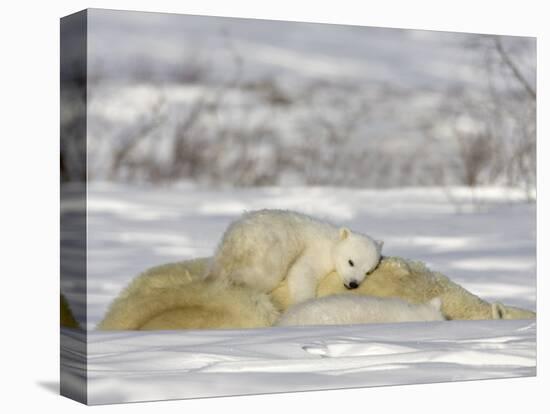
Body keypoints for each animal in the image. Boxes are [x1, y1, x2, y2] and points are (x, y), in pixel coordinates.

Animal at [207, 210, 384, 304]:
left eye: (368, 271)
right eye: (351, 262)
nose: (353, 284)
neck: (332, 241)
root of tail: (237, 240)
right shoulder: (316, 251)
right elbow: (302, 272)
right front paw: (304, 301)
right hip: (269, 252)